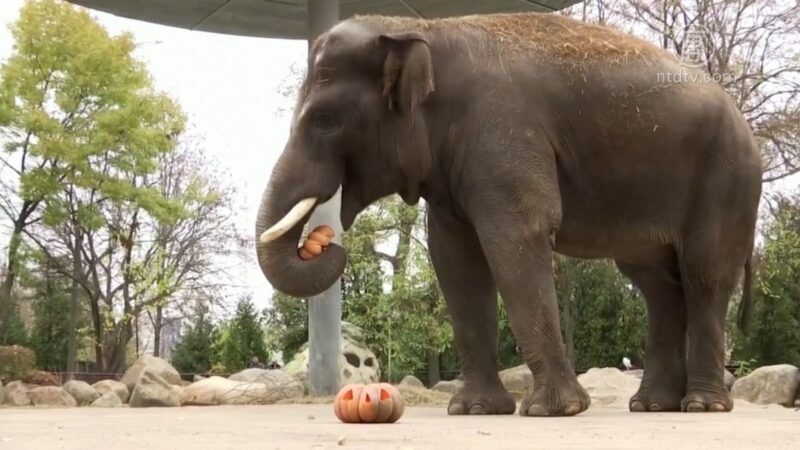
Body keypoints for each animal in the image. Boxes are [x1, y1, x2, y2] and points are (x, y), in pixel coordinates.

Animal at [256, 11, 764, 418]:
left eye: (324, 120)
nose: (323, 242)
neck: (422, 29)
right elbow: (456, 261)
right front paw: (474, 411)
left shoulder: (503, 132)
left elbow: (516, 239)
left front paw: (552, 412)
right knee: (656, 285)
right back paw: (652, 406)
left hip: (727, 180)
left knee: (704, 275)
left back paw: (702, 406)